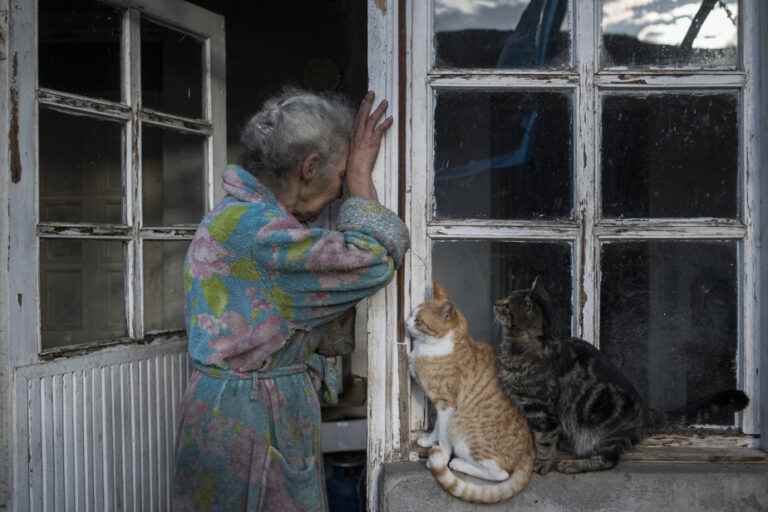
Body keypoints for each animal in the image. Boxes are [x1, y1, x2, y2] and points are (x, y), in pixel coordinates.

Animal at [408, 282, 536, 502]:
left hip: (461, 429)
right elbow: (437, 428)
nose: (405, 322)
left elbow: (443, 436)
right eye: (411, 314)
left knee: (500, 474)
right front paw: (428, 440)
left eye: (418, 320)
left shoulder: (446, 405)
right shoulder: (440, 405)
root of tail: (528, 453)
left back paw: (457, 463)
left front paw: (441, 455)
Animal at [492, 278, 752, 474]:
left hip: (608, 434)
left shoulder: (541, 410)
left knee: (609, 460)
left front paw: (541, 464)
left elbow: (544, 441)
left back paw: (573, 465)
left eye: (507, 305)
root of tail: (647, 411)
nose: (496, 302)